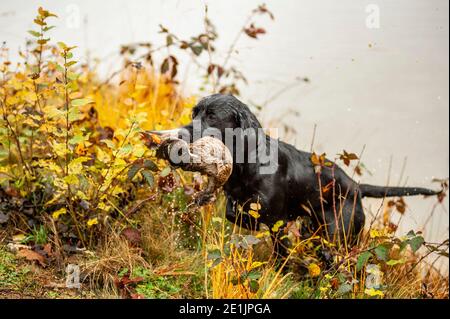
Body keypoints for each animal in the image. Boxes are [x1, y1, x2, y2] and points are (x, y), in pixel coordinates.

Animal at [149, 94, 442, 258]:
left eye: (212, 116)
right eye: (195, 112)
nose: (179, 135)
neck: (247, 165)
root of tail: (357, 187)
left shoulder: (276, 222)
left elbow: (279, 251)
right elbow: (235, 213)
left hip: (340, 234)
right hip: (314, 228)